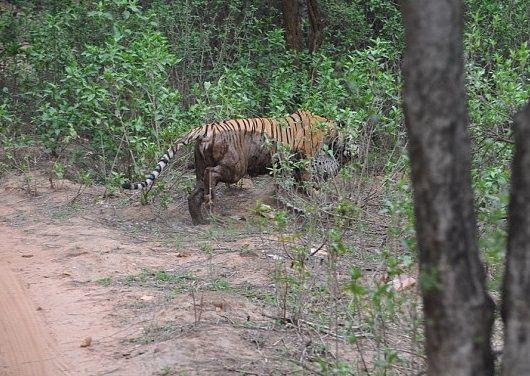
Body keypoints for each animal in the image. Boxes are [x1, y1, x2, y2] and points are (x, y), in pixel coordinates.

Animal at [122, 110, 346, 225]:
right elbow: (306, 180)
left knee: (195, 192)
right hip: (234, 167)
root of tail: (206, 127)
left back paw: (200, 220)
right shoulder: (305, 158)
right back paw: (211, 204)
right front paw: (313, 195)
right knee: (210, 176)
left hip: (201, 165)